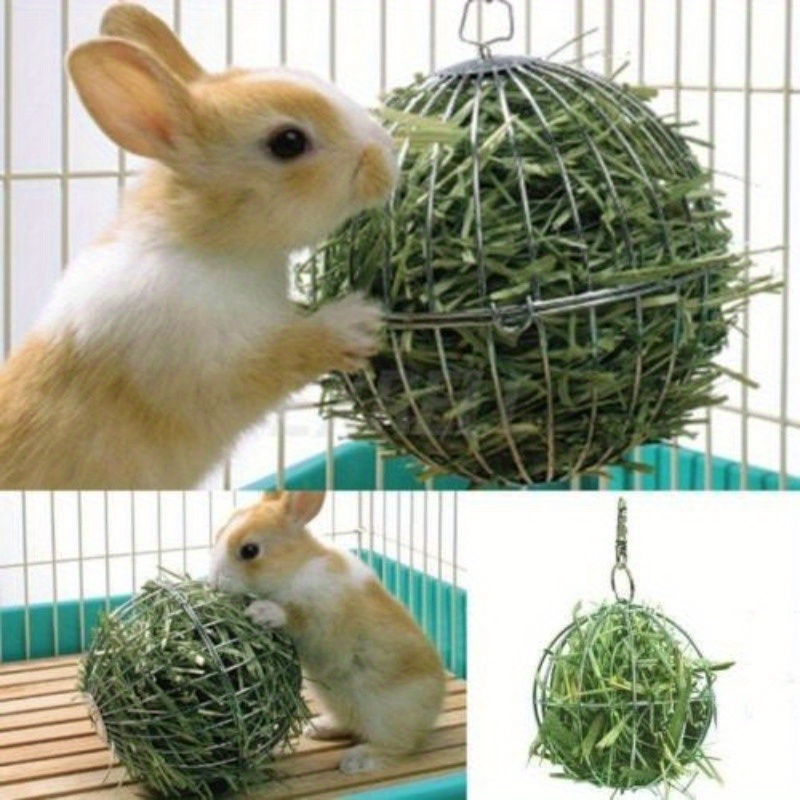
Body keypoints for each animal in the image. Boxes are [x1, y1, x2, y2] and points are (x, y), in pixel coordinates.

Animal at [0, 3, 397, 489]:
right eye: (288, 142)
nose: (388, 154)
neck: (206, 245)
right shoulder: (211, 364)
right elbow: (285, 353)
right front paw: (358, 320)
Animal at [208, 491, 447, 774]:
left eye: (250, 550)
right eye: (218, 533)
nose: (212, 582)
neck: (295, 568)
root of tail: (433, 711)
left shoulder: (323, 620)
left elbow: (297, 618)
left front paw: (261, 612)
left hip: (386, 715)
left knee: (400, 746)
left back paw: (356, 760)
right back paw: (317, 728)